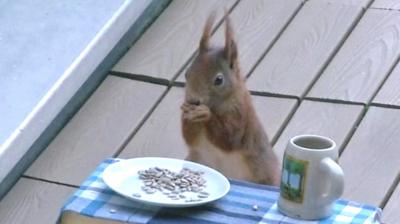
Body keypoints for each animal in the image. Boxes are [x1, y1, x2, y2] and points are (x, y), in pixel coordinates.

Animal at [181, 13, 282, 186]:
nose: (193, 100)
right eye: (187, 73)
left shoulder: (241, 115)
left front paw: (205, 114)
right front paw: (186, 113)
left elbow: (229, 139)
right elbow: (190, 138)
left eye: (219, 80)